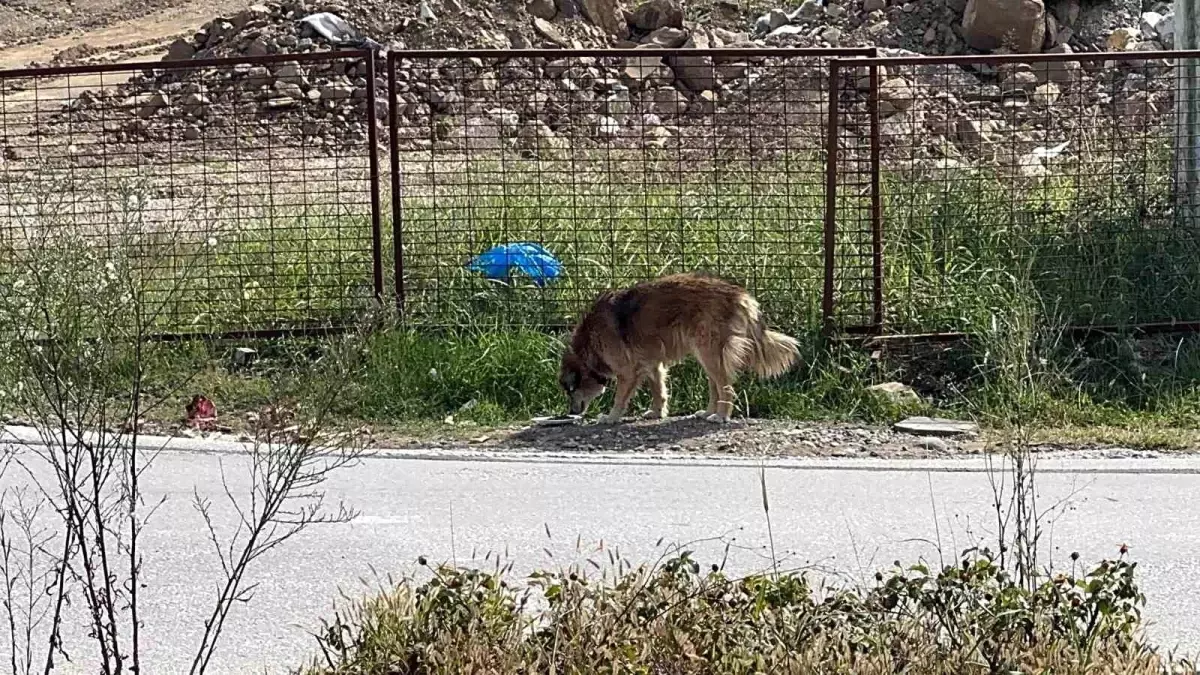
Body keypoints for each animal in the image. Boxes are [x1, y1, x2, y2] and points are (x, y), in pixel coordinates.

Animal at [556, 270, 801, 422]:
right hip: (707, 355)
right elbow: (659, 390)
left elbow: (620, 398)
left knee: (726, 387)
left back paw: (721, 416)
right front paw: (657, 413)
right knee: (715, 387)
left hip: (709, 352)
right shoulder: (652, 364)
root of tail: (737, 294)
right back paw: (708, 413)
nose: (570, 412)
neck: (588, 345)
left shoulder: (627, 371)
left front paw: (611, 417)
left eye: (570, 390)